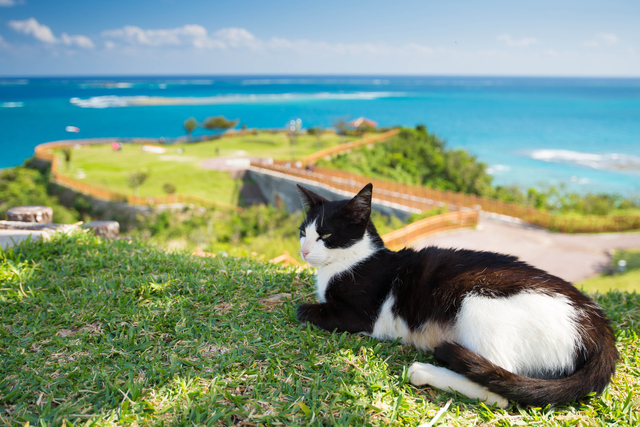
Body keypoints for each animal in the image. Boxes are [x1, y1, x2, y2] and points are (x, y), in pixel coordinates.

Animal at [296, 183, 620, 408]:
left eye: (325, 235)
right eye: (303, 233)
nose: (304, 251)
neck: (354, 259)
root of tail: (596, 323)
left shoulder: (361, 314)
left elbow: (306, 310)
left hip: (478, 301)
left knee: (498, 389)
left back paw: (425, 371)